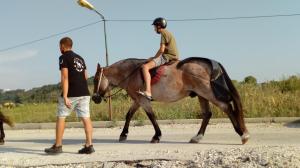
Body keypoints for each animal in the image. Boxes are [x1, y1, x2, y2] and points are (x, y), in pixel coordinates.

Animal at [92, 57, 251, 144]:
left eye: (95, 79)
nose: (94, 98)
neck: (131, 73)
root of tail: (209, 63)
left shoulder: (143, 99)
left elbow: (151, 116)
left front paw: (157, 136)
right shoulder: (137, 99)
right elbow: (129, 115)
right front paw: (123, 134)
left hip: (207, 92)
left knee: (226, 107)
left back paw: (243, 134)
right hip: (202, 95)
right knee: (207, 114)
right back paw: (197, 137)